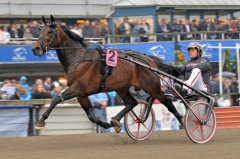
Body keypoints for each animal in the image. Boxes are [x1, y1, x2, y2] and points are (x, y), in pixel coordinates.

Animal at [31, 15, 182, 132]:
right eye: (40, 30)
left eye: (49, 32)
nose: (35, 48)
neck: (78, 57)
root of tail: (150, 60)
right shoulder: (81, 94)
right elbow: (92, 117)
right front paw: (109, 124)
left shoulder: (77, 88)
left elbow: (56, 99)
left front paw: (40, 121)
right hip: (122, 87)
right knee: (131, 102)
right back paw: (116, 120)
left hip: (152, 87)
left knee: (167, 101)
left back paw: (182, 120)